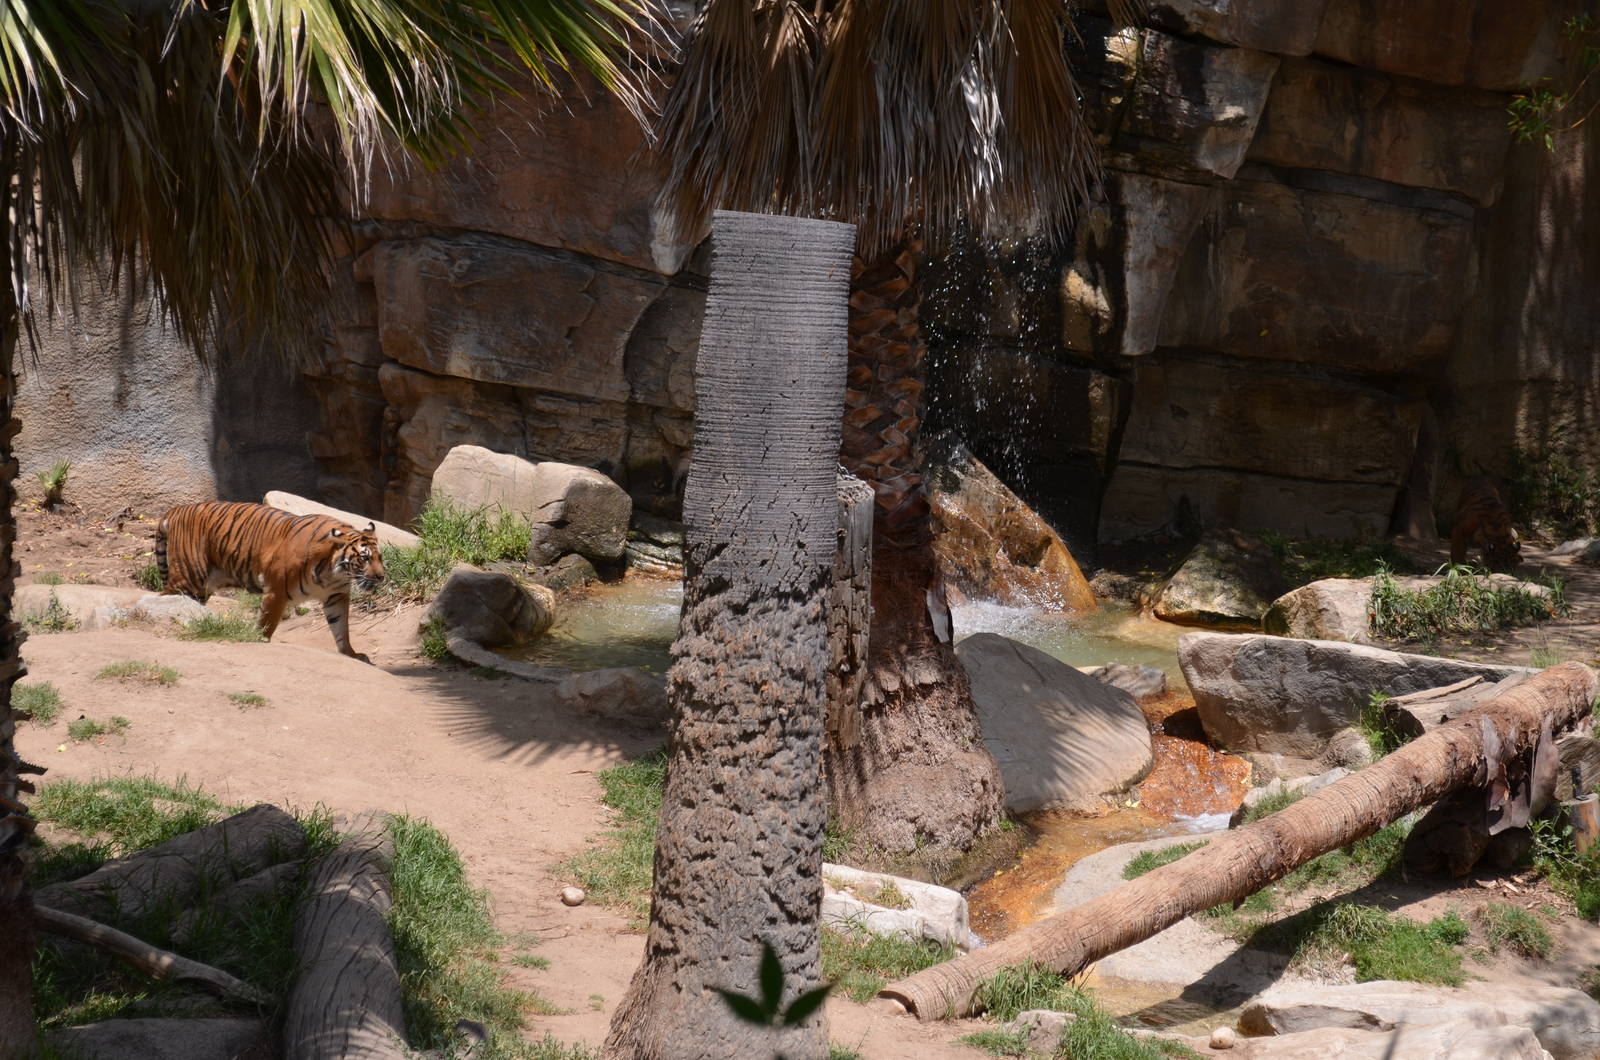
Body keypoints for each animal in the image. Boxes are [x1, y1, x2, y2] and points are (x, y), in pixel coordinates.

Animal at [155, 501, 386, 662]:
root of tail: (176, 510)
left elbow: (342, 628)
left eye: (379, 557)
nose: (381, 576)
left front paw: (351, 653)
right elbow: (267, 623)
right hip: (189, 577)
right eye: (364, 558)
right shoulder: (276, 592)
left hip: (201, 587)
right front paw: (258, 639)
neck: (333, 572)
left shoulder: (336, 596)